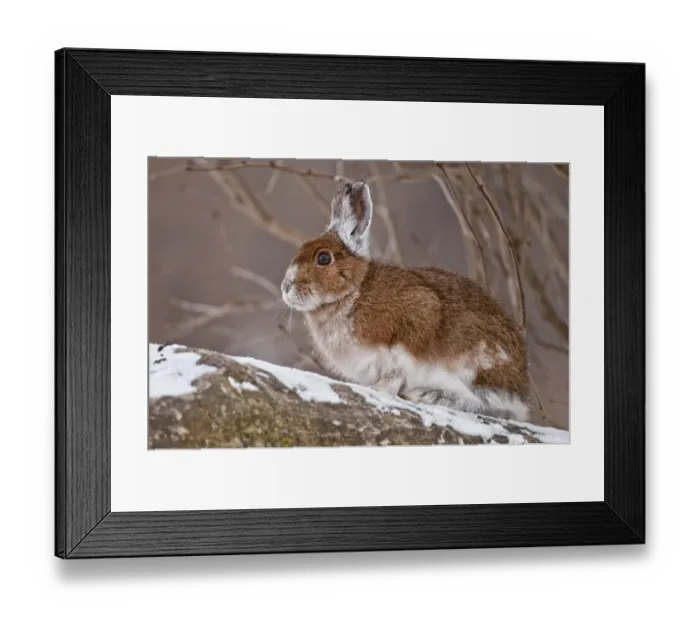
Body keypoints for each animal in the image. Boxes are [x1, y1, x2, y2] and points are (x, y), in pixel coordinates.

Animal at [280, 180, 532, 421]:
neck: (353, 292)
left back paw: (431, 395)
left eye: (324, 258)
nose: (286, 287)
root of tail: (521, 390)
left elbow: (398, 372)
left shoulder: (415, 323)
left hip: (477, 365)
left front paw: (379, 389)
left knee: (487, 406)